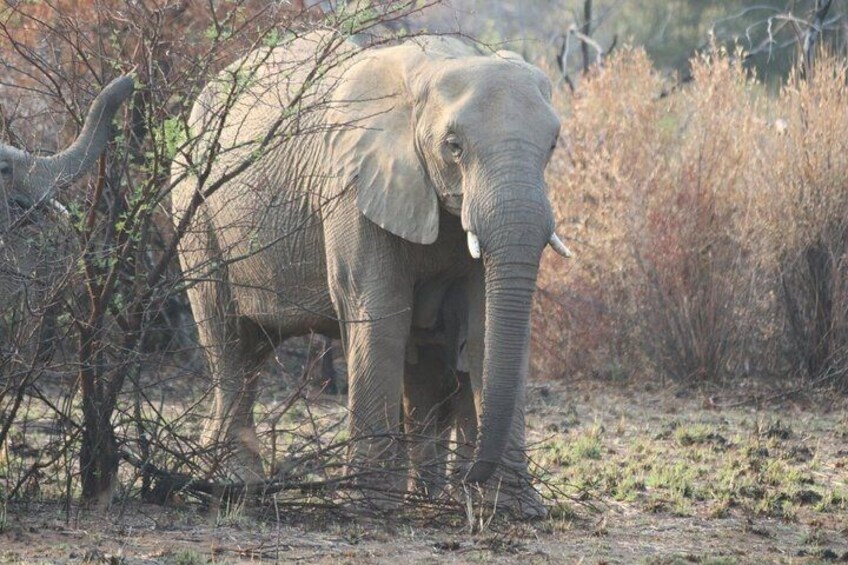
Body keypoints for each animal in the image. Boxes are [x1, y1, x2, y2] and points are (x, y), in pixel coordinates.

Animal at [171, 31, 571, 516]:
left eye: (552, 146)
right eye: (453, 146)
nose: (472, 476)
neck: (437, 66)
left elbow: (481, 327)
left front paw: (513, 509)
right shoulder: (352, 187)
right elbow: (379, 317)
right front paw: (369, 506)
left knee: (254, 350)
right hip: (194, 212)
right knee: (228, 338)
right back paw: (235, 486)